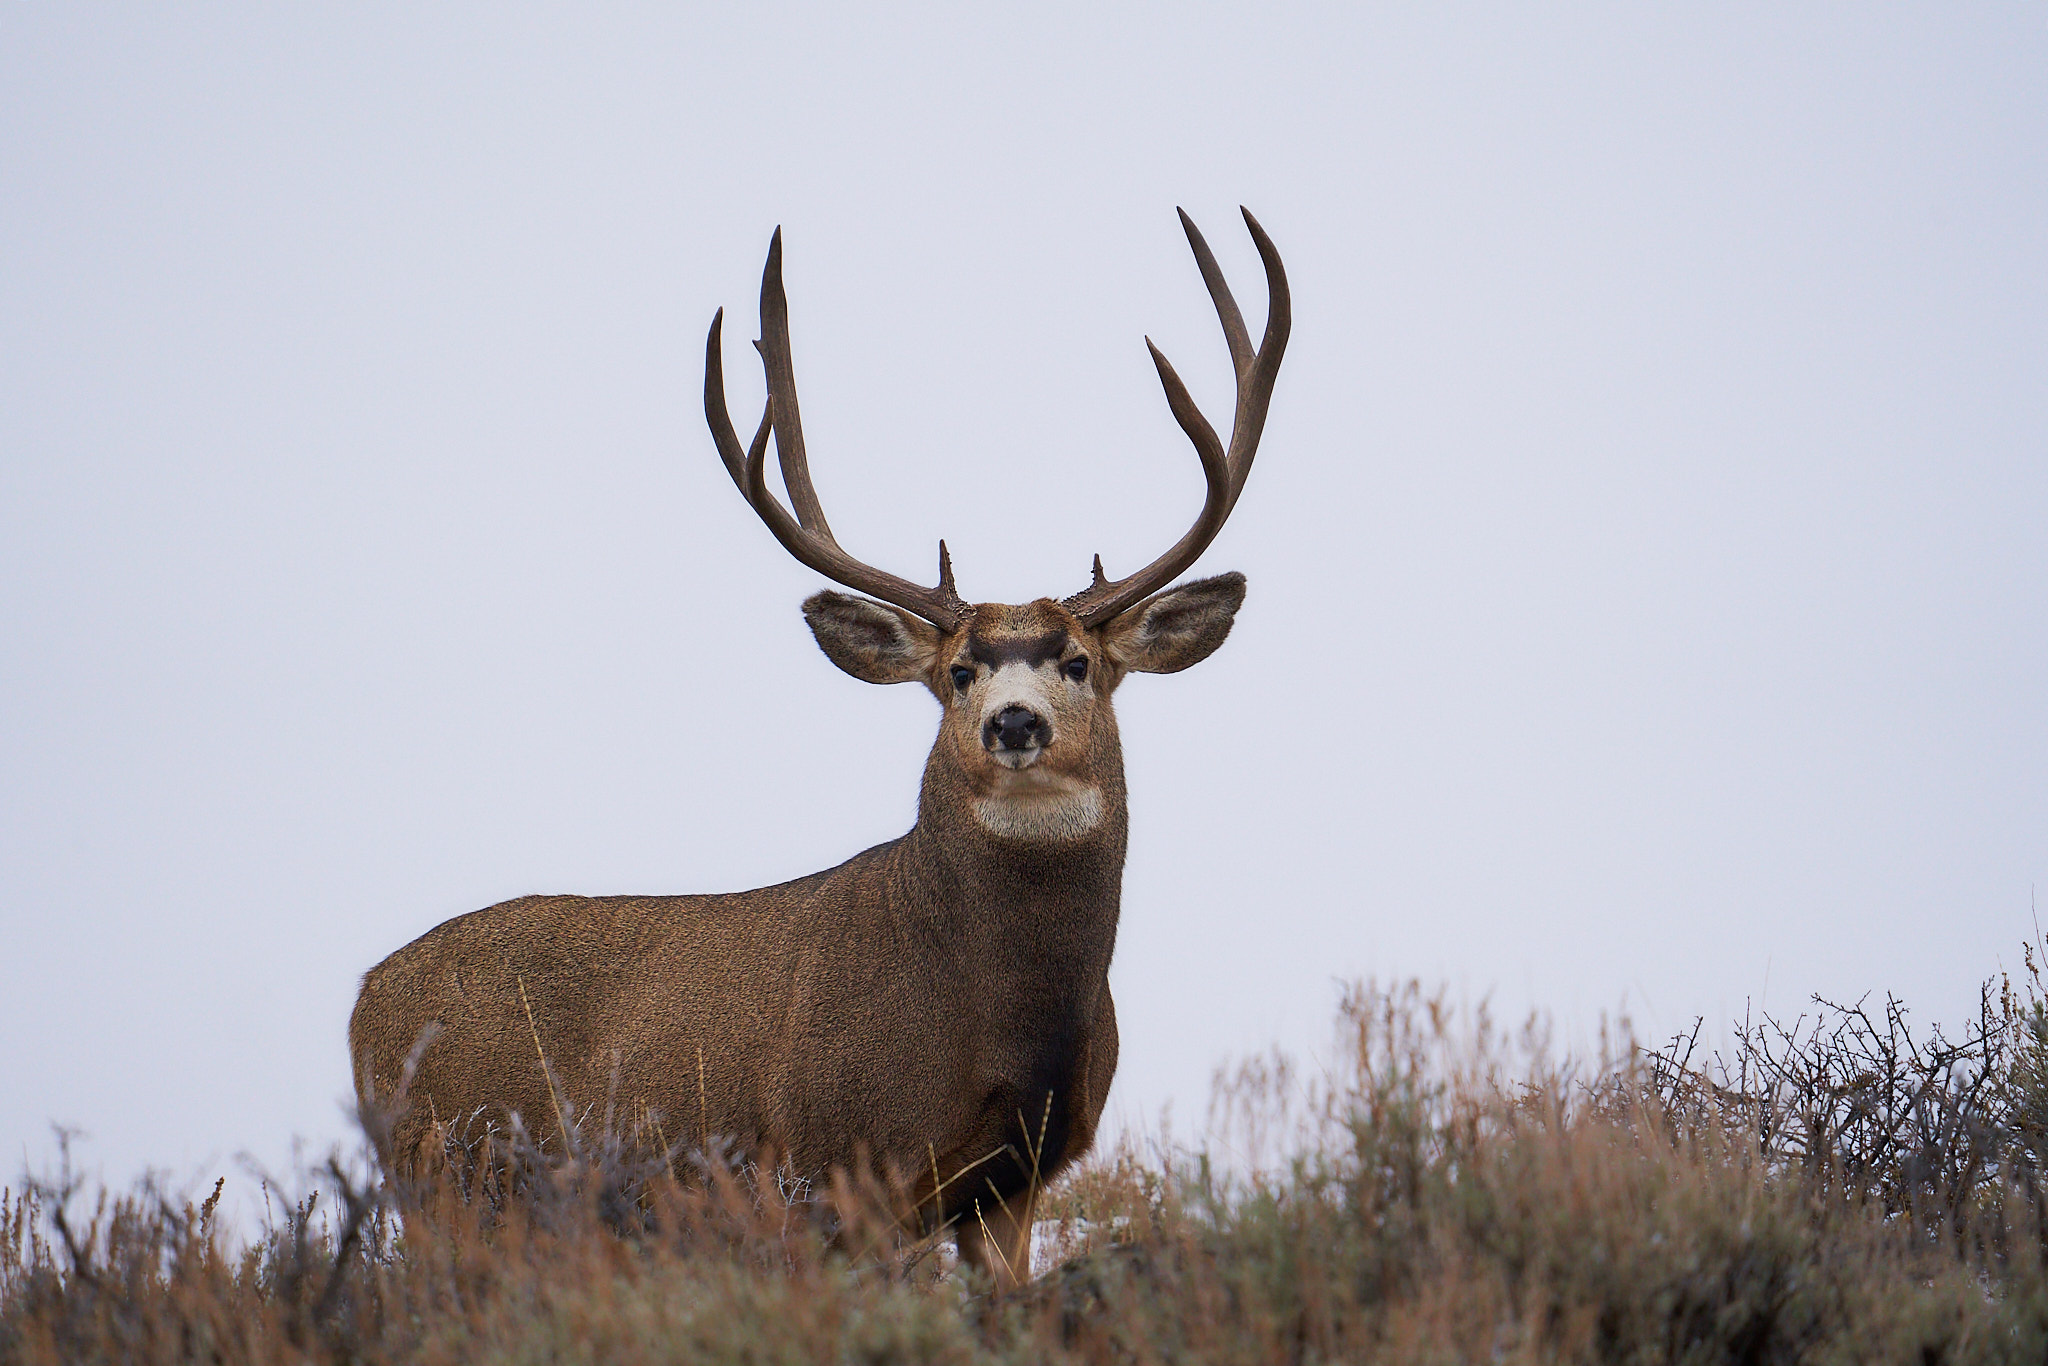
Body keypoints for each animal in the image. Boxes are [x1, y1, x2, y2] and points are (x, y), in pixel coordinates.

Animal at [348, 208, 1288, 1286]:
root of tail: (361, 1000)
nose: (1013, 722)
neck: (999, 1015)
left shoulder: (1014, 1184)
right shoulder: (838, 1158)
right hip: (447, 1178)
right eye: (958, 670)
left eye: (1078, 661)